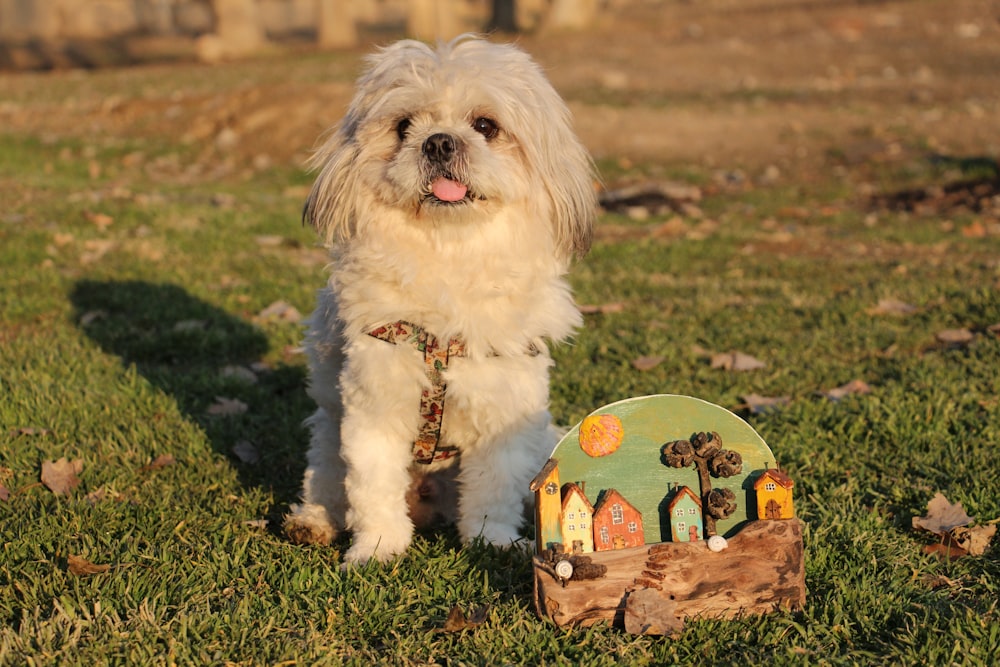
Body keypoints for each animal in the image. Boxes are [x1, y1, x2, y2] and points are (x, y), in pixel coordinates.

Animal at [282, 32, 592, 564]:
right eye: (405, 126)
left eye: (485, 126)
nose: (440, 141)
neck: (449, 255)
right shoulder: (375, 405)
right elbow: (372, 487)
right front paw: (377, 548)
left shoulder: (504, 408)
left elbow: (493, 490)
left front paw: (493, 540)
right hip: (326, 437)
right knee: (325, 483)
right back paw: (313, 521)